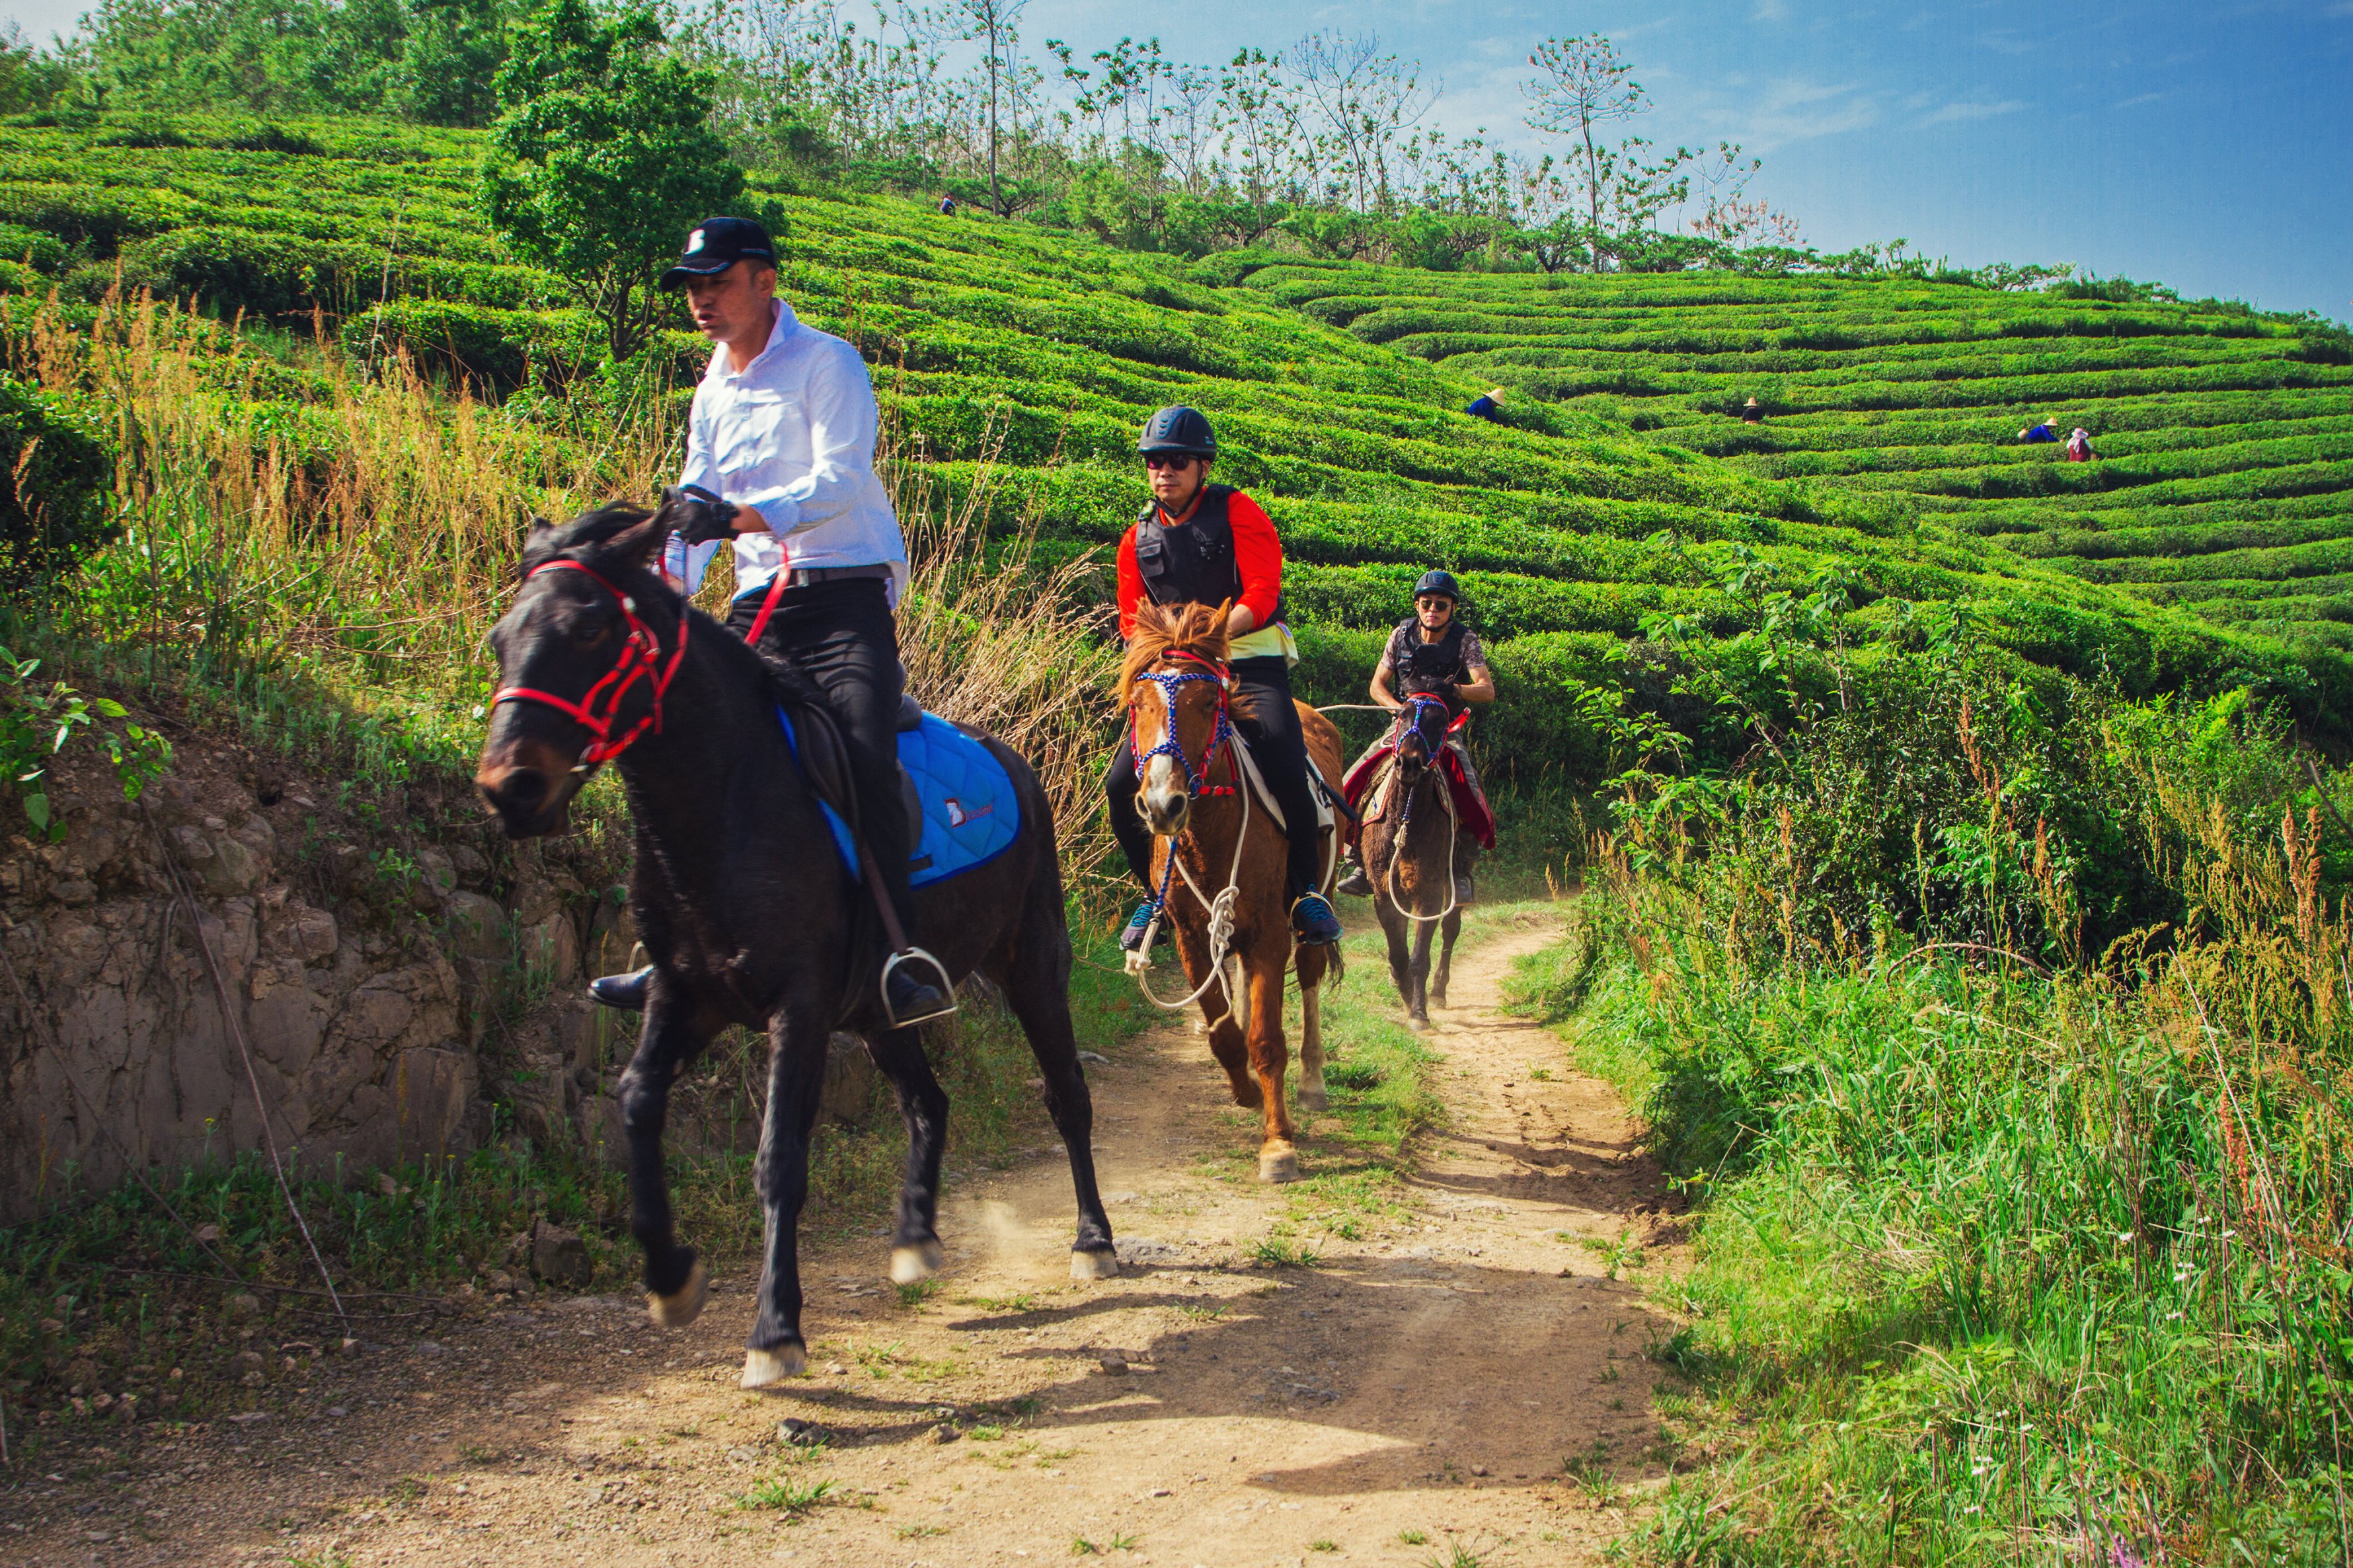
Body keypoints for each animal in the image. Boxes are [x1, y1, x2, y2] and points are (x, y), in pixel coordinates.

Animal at [473, 500, 1115, 1382]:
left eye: (592, 628)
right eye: (501, 637)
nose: (511, 788)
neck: (722, 803)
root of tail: (1012, 759)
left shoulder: (798, 1008)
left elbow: (778, 1158)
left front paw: (775, 1329)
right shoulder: (686, 995)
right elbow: (635, 1105)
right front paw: (670, 1278)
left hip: (1031, 966)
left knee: (1067, 1098)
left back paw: (1094, 1241)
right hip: (879, 1014)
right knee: (929, 1103)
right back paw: (914, 1237)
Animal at [1120, 606, 1346, 1185]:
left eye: (1206, 702)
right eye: (1139, 702)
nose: (1163, 804)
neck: (1209, 826)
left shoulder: (1269, 934)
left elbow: (1267, 1040)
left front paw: (1278, 1143)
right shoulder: (1190, 935)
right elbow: (1223, 1030)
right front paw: (1243, 1088)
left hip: (1316, 903)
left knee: (1310, 976)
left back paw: (1314, 1081)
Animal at [1364, 696, 1468, 1029]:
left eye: (1440, 723)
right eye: (1403, 715)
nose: (1409, 763)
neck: (1406, 818)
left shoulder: (1430, 890)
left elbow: (1420, 957)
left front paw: (1419, 1011)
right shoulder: (1383, 889)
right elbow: (1399, 952)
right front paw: (1404, 989)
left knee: (1451, 928)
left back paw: (1438, 992)